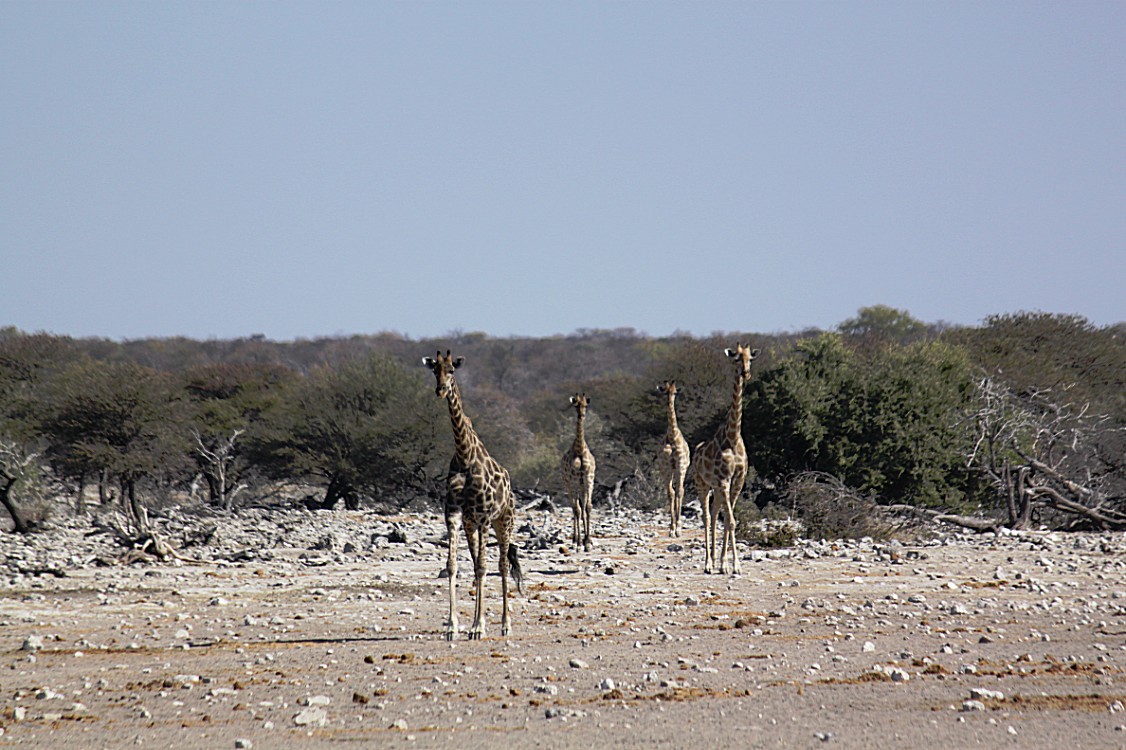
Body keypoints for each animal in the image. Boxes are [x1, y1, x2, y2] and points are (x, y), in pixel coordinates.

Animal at [423, 351, 522, 635]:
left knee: (501, 565)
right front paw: (453, 625)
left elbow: (482, 567)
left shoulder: (485, 516)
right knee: (480, 563)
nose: (440, 390)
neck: (465, 455)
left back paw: (505, 624)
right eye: (434, 370)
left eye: (452, 370)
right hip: (472, 524)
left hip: (503, 521)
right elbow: (453, 565)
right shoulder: (455, 514)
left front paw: (479, 625)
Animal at [689, 342, 761, 572]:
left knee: (714, 514)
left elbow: (730, 521)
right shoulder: (723, 480)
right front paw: (732, 564)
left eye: (750, 358)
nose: (746, 373)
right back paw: (707, 563)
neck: (732, 437)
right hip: (702, 483)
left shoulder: (737, 480)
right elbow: (729, 520)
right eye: (736, 358)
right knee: (706, 516)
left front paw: (727, 564)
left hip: (717, 488)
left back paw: (715, 561)